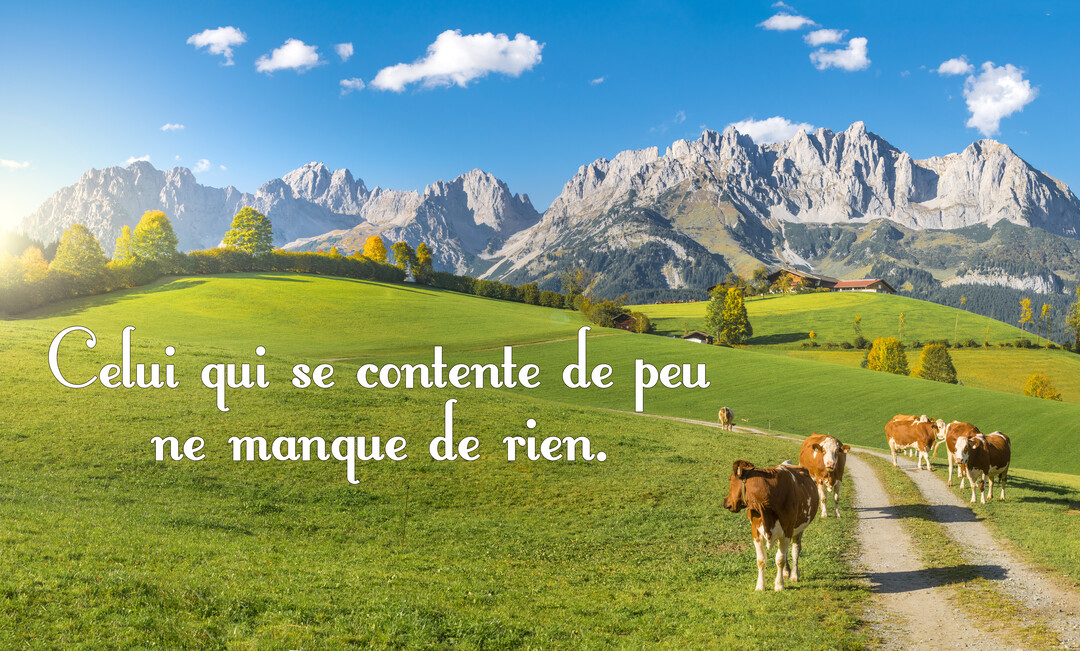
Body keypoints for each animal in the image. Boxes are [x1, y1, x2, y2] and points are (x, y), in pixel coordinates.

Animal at [724, 460, 819, 591]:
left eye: (730, 479)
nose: (725, 502)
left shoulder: (787, 531)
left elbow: (780, 559)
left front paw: (779, 585)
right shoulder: (756, 531)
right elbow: (761, 560)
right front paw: (760, 585)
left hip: (799, 529)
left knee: (795, 550)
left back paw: (794, 575)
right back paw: (786, 572)